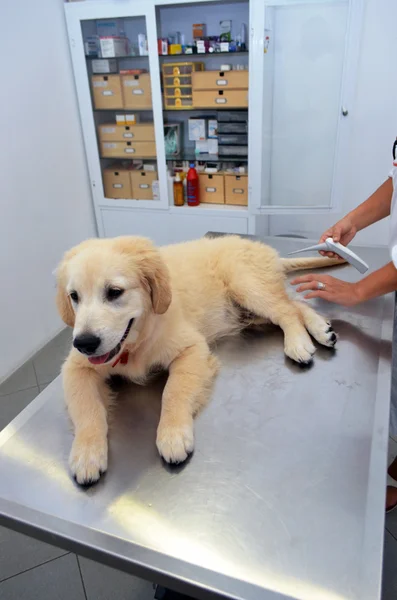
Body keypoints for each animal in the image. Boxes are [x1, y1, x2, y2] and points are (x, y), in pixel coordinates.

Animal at [55, 234, 340, 482]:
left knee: (287, 311)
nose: (84, 343)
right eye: (74, 296)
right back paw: (321, 330)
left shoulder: (192, 348)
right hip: (249, 311)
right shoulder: (75, 368)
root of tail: (261, 247)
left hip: (247, 286)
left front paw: (172, 434)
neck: (134, 345)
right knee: (296, 304)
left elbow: (173, 391)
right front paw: (86, 453)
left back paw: (298, 342)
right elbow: (87, 408)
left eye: (114, 292)